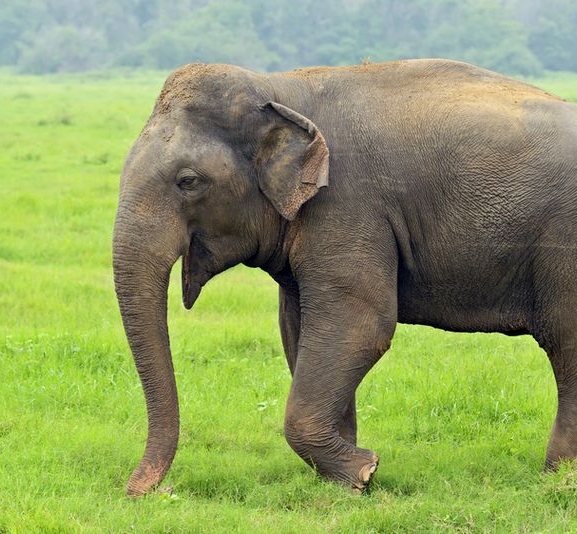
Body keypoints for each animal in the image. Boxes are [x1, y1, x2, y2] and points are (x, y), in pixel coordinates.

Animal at [112, 58, 576, 498]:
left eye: (188, 181)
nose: (150, 492)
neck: (279, 87)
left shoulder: (347, 205)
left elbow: (361, 326)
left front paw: (363, 473)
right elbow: (298, 330)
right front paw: (346, 476)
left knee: (564, 339)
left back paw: (557, 477)